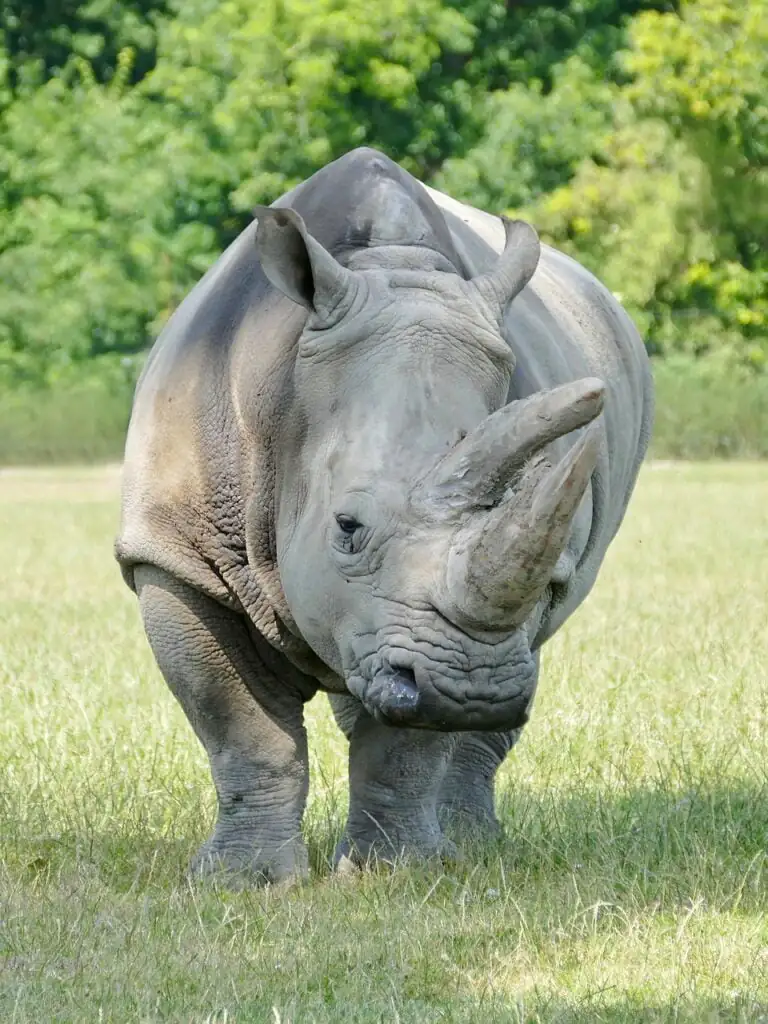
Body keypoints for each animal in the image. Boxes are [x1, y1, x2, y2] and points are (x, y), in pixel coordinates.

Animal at [116, 147, 653, 884]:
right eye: (347, 528)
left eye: (551, 572)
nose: (474, 690)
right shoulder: (175, 554)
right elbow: (240, 726)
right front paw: (245, 884)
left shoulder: (426, 639)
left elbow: (406, 742)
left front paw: (393, 876)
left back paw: (472, 844)